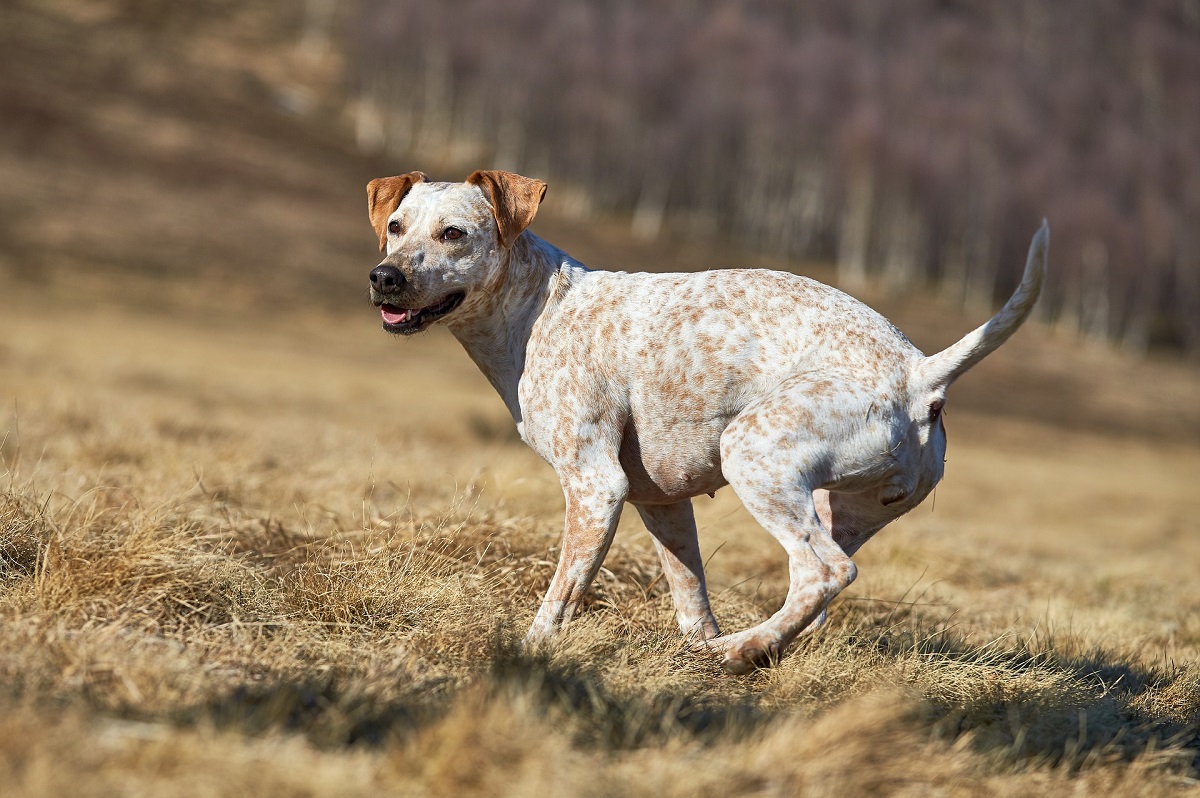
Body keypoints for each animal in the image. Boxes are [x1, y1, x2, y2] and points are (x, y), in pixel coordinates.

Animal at [364, 168, 1051, 672]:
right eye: (394, 227)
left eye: (454, 234)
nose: (383, 276)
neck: (538, 308)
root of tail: (919, 372)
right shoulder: (659, 501)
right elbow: (689, 592)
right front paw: (691, 650)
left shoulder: (595, 487)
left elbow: (562, 593)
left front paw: (528, 653)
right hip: (840, 507)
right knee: (819, 592)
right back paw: (751, 647)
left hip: (752, 453)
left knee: (824, 572)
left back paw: (740, 652)